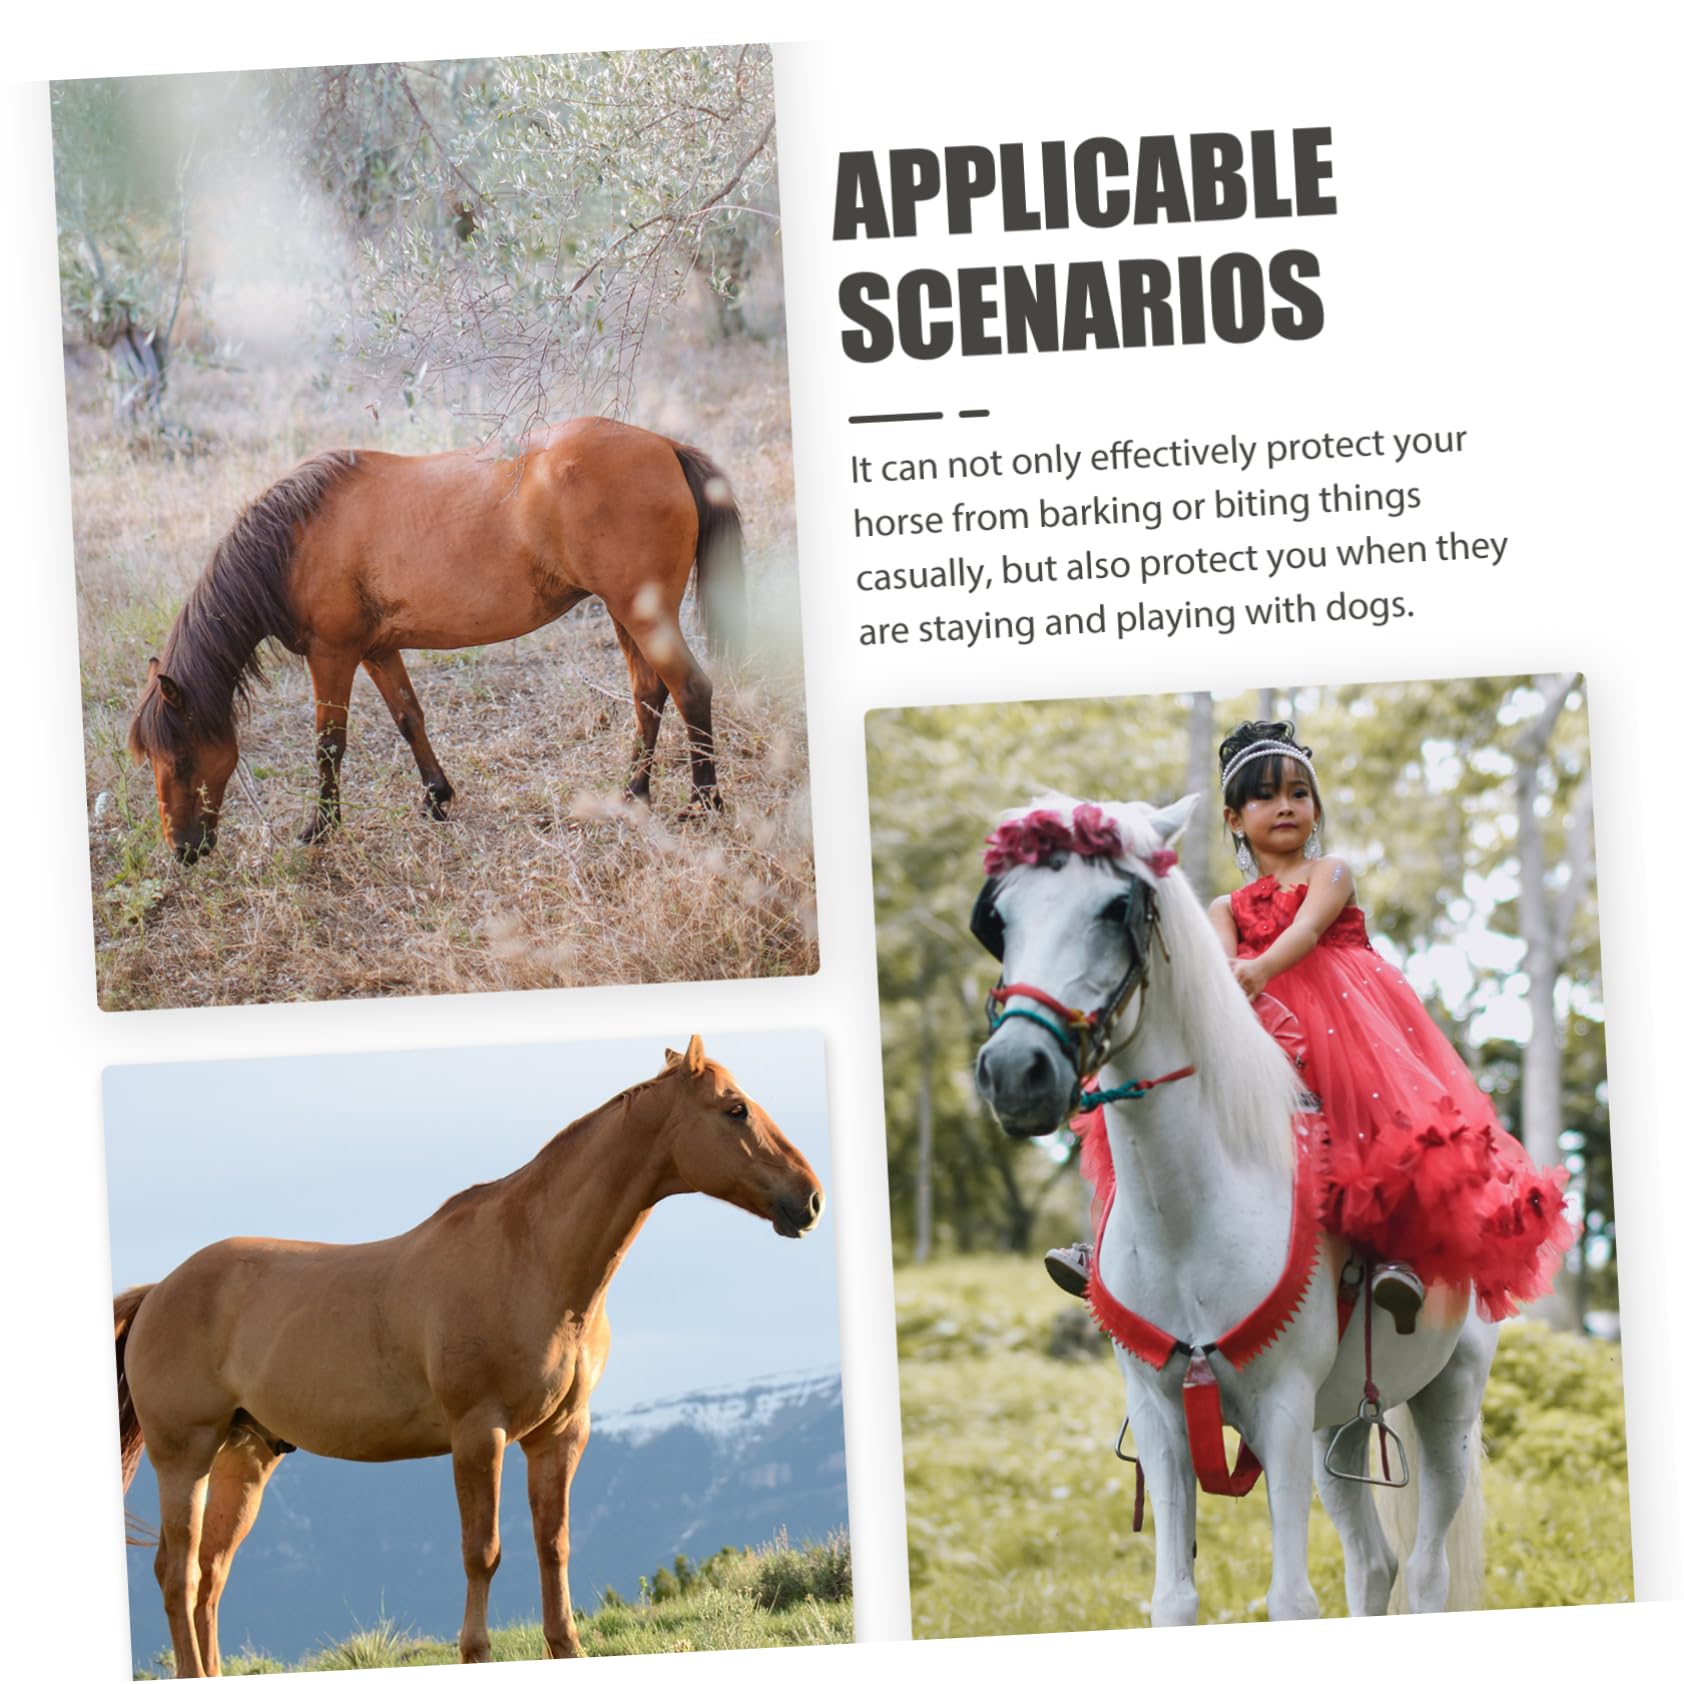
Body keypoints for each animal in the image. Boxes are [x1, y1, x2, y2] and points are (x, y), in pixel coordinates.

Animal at [113, 1036, 823, 1676]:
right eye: (735, 1109)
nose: (811, 1198)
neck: (533, 1260)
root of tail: (160, 1291)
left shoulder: (561, 1434)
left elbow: (553, 1543)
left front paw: (566, 1647)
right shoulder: (480, 1432)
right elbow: (483, 1550)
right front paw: (476, 1652)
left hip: (246, 1457)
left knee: (209, 1577)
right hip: (186, 1455)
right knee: (177, 1574)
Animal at [126, 418, 746, 864]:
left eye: (182, 757)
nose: (182, 852)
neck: (296, 541)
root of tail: (665, 446)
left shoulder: (333, 655)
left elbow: (329, 744)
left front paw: (320, 827)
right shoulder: (376, 651)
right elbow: (409, 718)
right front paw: (436, 797)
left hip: (643, 617)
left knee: (690, 689)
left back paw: (703, 802)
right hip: (626, 617)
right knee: (649, 695)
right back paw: (633, 794)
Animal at [970, 794, 1496, 1625]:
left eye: (1117, 907)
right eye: (1002, 918)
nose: (1016, 1071)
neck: (1188, 1220)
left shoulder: (1281, 1409)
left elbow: (1290, 1601)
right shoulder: (1161, 1418)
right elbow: (1174, 1601)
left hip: (1450, 1400)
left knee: (1426, 1571)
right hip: (1336, 1428)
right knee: (1373, 1564)